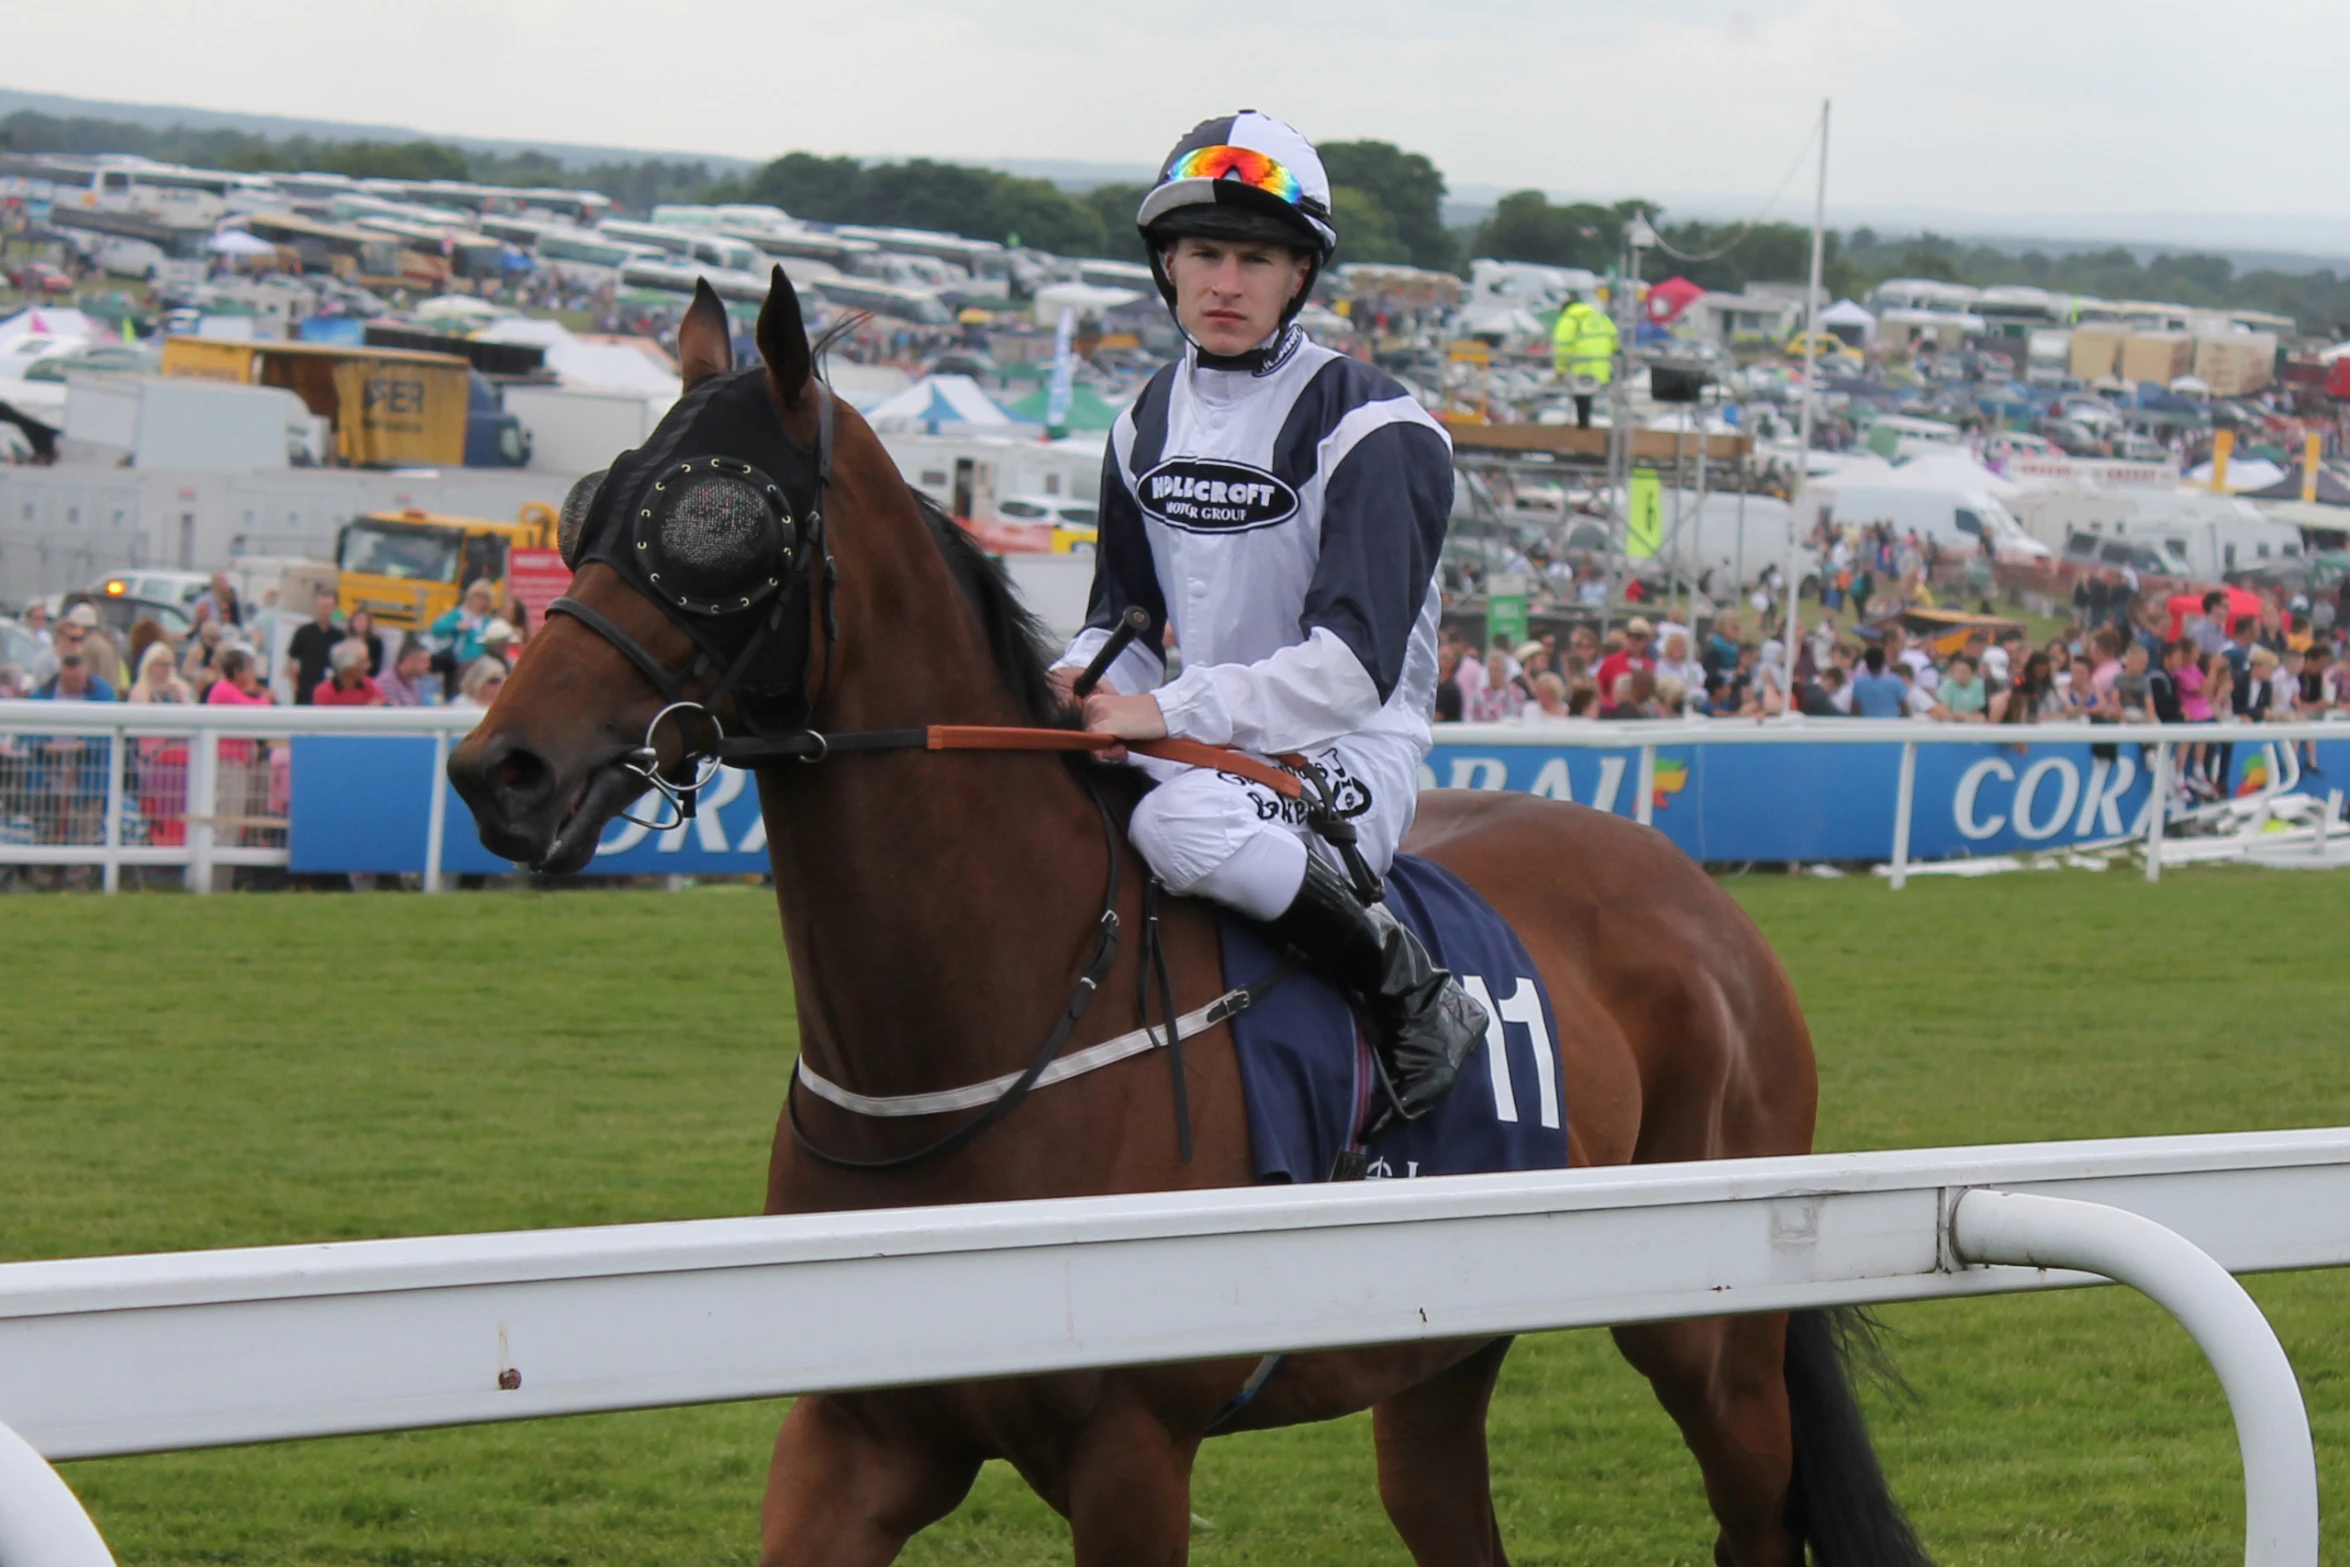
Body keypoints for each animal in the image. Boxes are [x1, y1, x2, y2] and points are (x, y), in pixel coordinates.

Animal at [444, 272, 1926, 1567]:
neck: (969, 1047)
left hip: (1709, 1339)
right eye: (591, 502)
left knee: (1755, 1519)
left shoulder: (1132, 1454)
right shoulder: (857, 1433)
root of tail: (1699, 899)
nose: (497, 770)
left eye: (716, 522)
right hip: (1437, 1344)